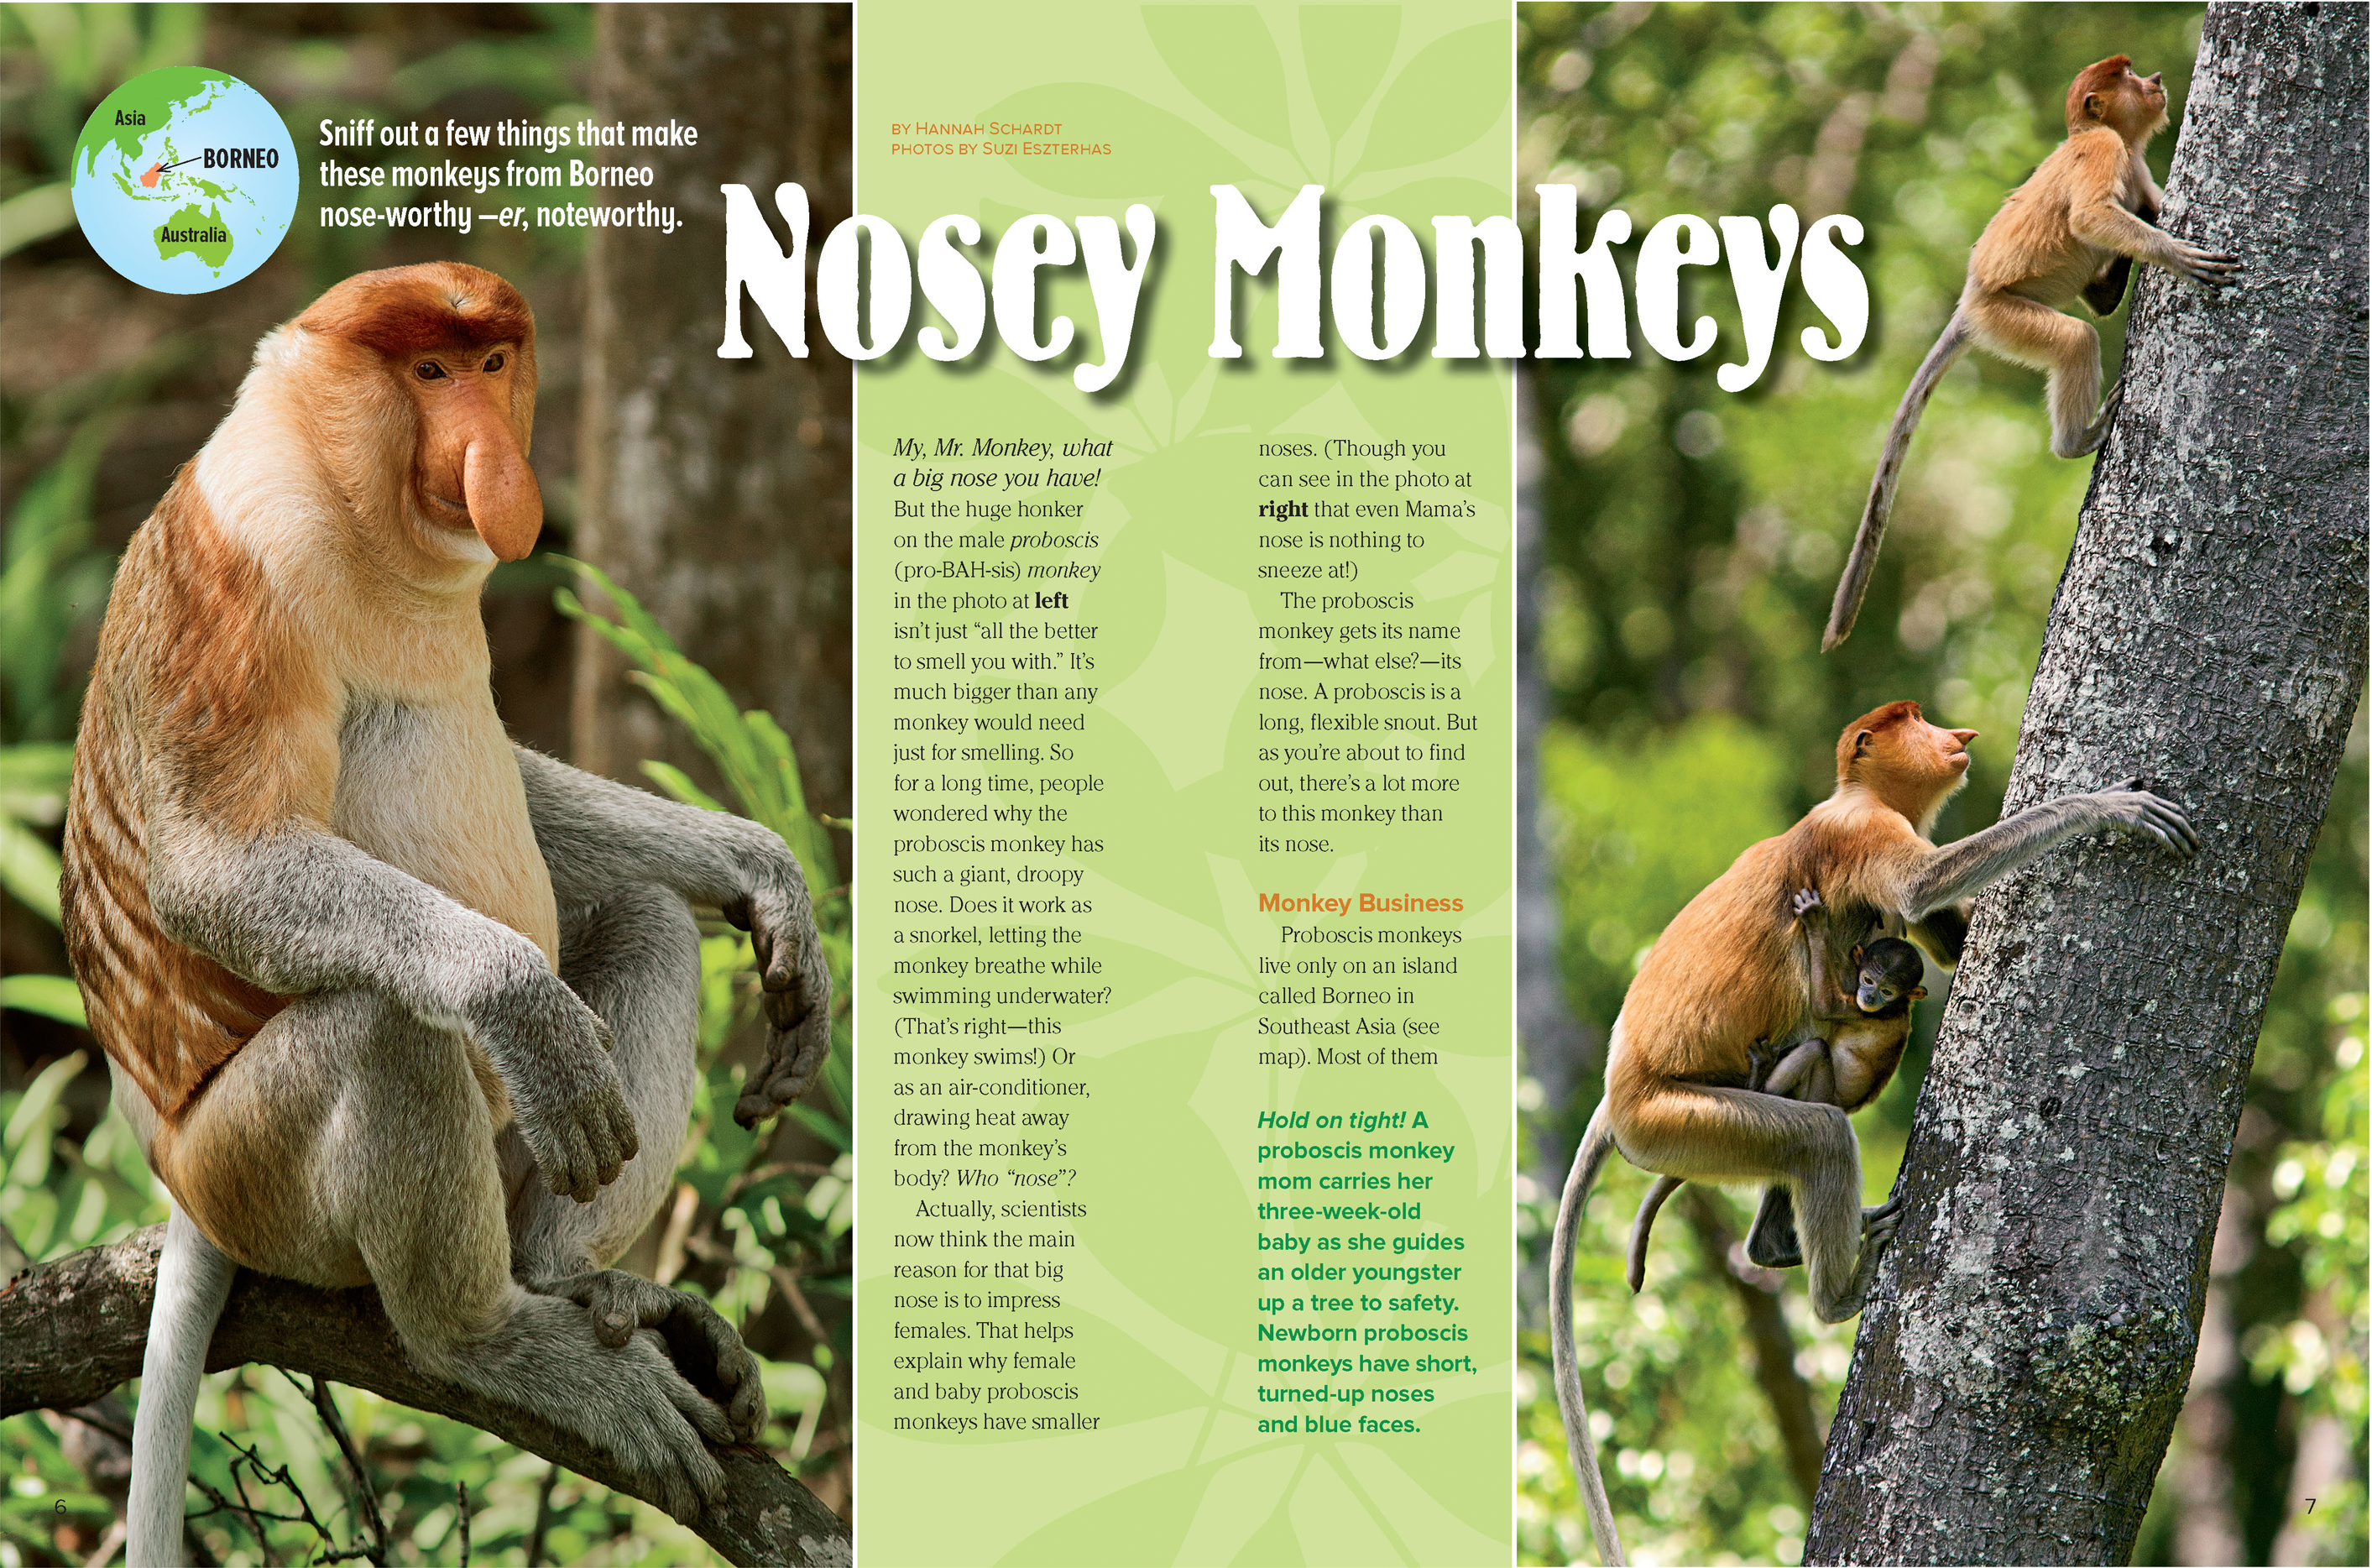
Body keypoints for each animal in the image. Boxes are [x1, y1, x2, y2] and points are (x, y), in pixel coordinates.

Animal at [57, 263, 835, 1565]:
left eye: (491, 365)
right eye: (426, 373)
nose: (492, 459)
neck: (345, 495)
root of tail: (175, 1181)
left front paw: (757, 871)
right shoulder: (244, 570)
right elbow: (219, 863)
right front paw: (519, 1003)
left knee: (645, 921)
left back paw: (576, 1283)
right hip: (251, 1175)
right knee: (390, 1027)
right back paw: (494, 1335)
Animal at [1622, 922, 1929, 1292]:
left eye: (1887, 990)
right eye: (1868, 980)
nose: (1870, 997)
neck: (1898, 1008)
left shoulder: (1860, 1011)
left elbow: (1824, 1005)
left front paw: (1814, 923)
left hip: (1817, 1093)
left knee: (1815, 1050)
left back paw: (1758, 1082)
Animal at [1823, 56, 2243, 651]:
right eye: (2127, 76)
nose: (2157, 82)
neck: (2094, 132)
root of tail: (1970, 298)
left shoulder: (2133, 165)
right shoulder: (2105, 151)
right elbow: (2089, 217)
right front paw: (2175, 254)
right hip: (2005, 318)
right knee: (2077, 338)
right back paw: (2078, 440)